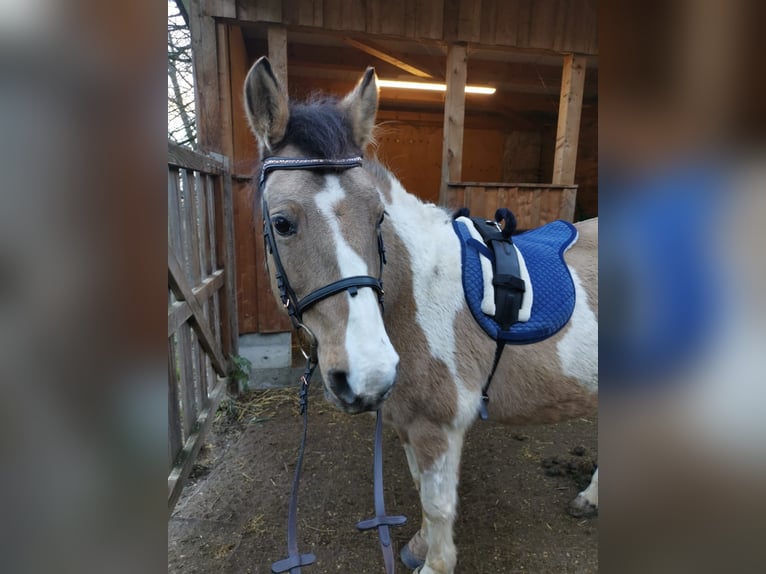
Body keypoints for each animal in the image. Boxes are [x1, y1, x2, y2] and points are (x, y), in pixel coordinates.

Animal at [246, 57, 600, 574]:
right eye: (282, 223)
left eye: (378, 217)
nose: (368, 374)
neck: (412, 295)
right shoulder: (408, 423)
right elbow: (421, 492)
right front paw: (418, 545)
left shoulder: (438, 424)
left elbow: (438, 504)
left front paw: (434, 560)